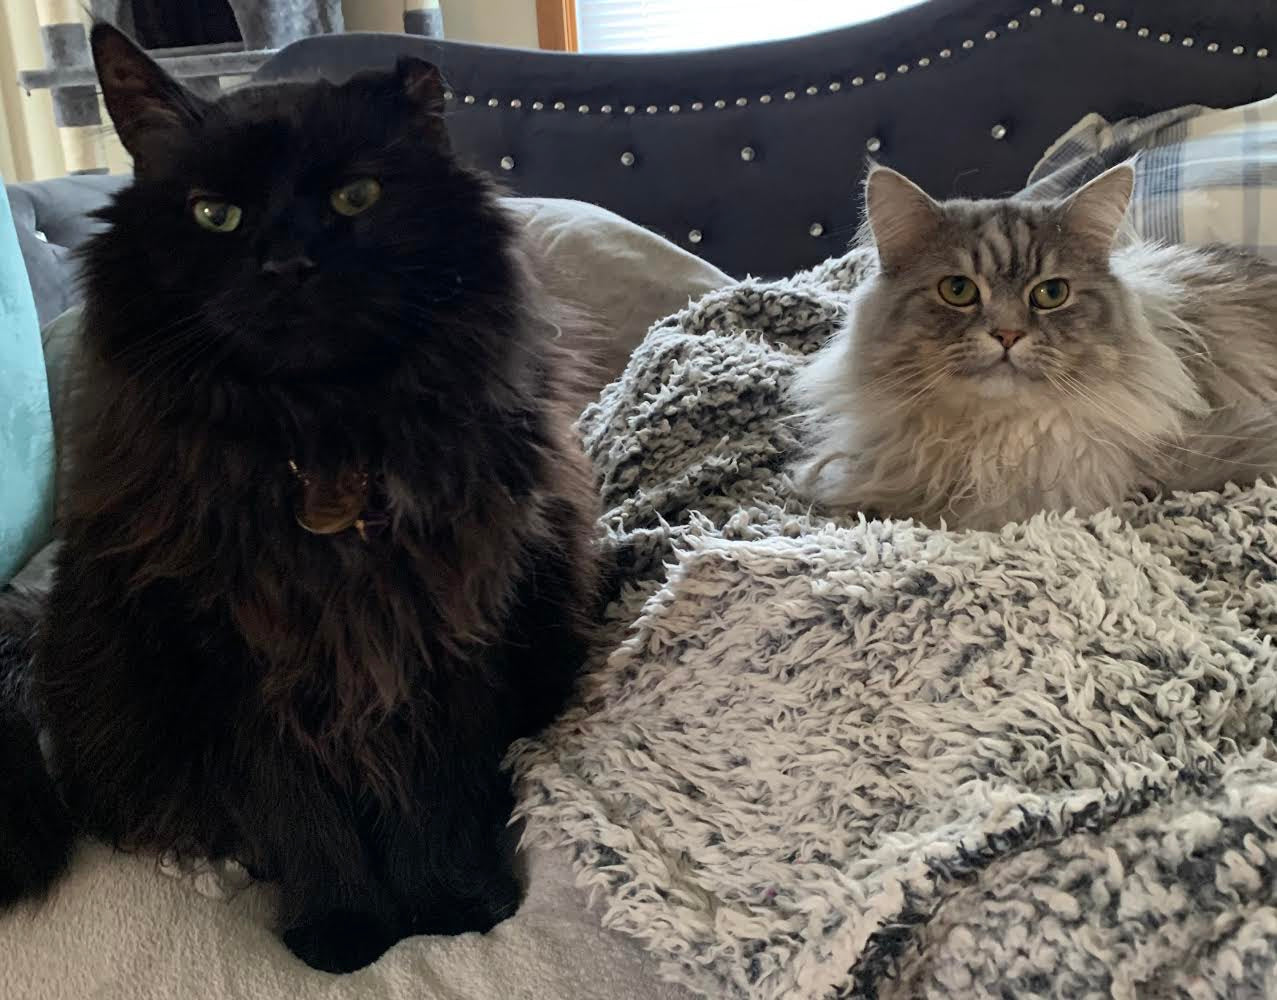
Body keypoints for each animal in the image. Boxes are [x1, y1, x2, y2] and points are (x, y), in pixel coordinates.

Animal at [0, 23, 597, 975]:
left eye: (356, 196)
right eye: (215, 214)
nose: (288, 264)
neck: (322, 449)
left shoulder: (443, 638)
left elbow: (434, 797)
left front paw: (449, 908)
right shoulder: (238, 665)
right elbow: (303, 815)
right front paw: (342, 932)